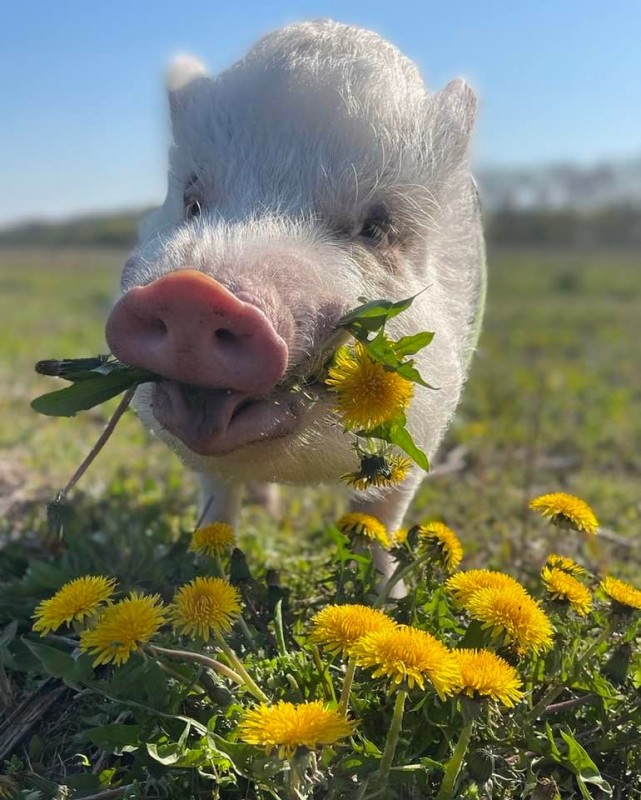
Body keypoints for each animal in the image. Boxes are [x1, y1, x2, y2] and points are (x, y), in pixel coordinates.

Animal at [106, 18, 484, 580]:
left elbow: (381, 516)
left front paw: (382, 596)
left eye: (377, 228)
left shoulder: (425, 422)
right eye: (192, 202)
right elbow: (219, 499)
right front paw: (204, 573)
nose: (194, 293)